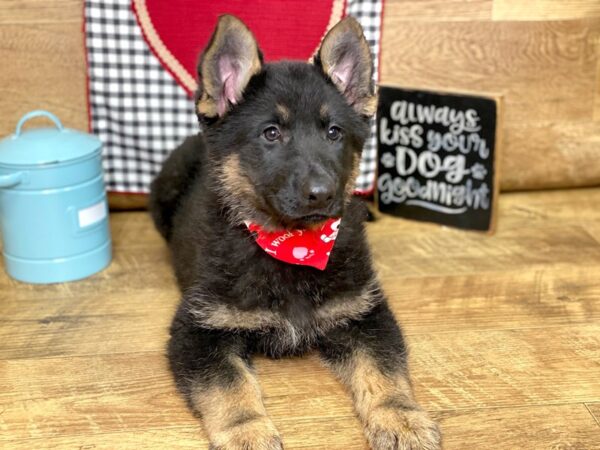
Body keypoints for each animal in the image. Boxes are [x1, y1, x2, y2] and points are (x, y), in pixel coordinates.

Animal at [150, 14, 440, 450]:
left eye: (334, 133)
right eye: (271, 133)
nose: (322, 194)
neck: (294, 246)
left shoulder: (364, 314)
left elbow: (384, 371)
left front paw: (400, 417)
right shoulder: (199, 328)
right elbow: (228, 385)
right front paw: (247, 431)